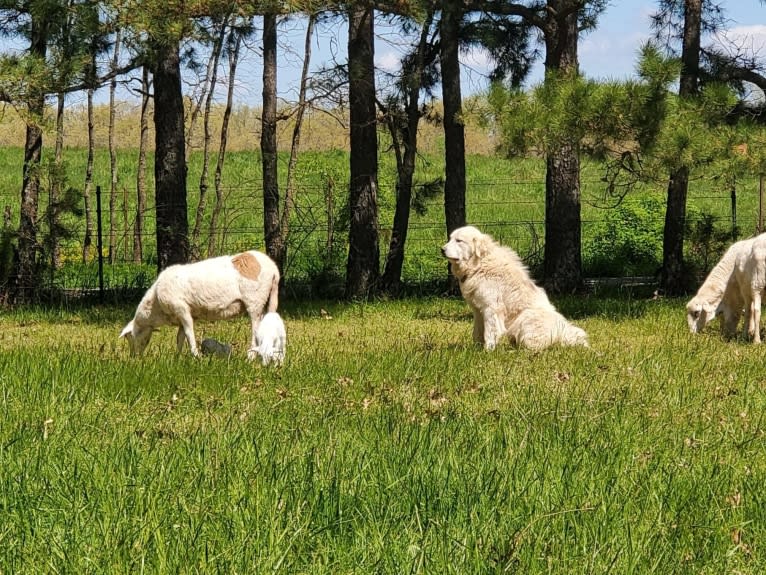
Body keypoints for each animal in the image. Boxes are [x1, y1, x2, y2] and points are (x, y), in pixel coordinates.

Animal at [118, 250, 280, 358]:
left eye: (130, 337)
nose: (134, 358)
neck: (155, 308)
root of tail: (274, 269)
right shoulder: (182, 317)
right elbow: (180, 337)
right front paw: (177, 358)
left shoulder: (182, 309)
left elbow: (189, 334)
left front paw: (196, 356)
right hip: (268, 299)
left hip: (255, 301)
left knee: (255, 328)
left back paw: (251, 356)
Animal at [440, 225, 592, 352]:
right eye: (450, 239)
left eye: (459, 241)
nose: (442, 249)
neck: (479, 264)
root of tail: (562, 330)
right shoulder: (478, 310)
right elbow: (477, 332)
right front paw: (476, 349)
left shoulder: (491, 308)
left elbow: (490, 332)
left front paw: (487, 351)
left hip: (526, 317)